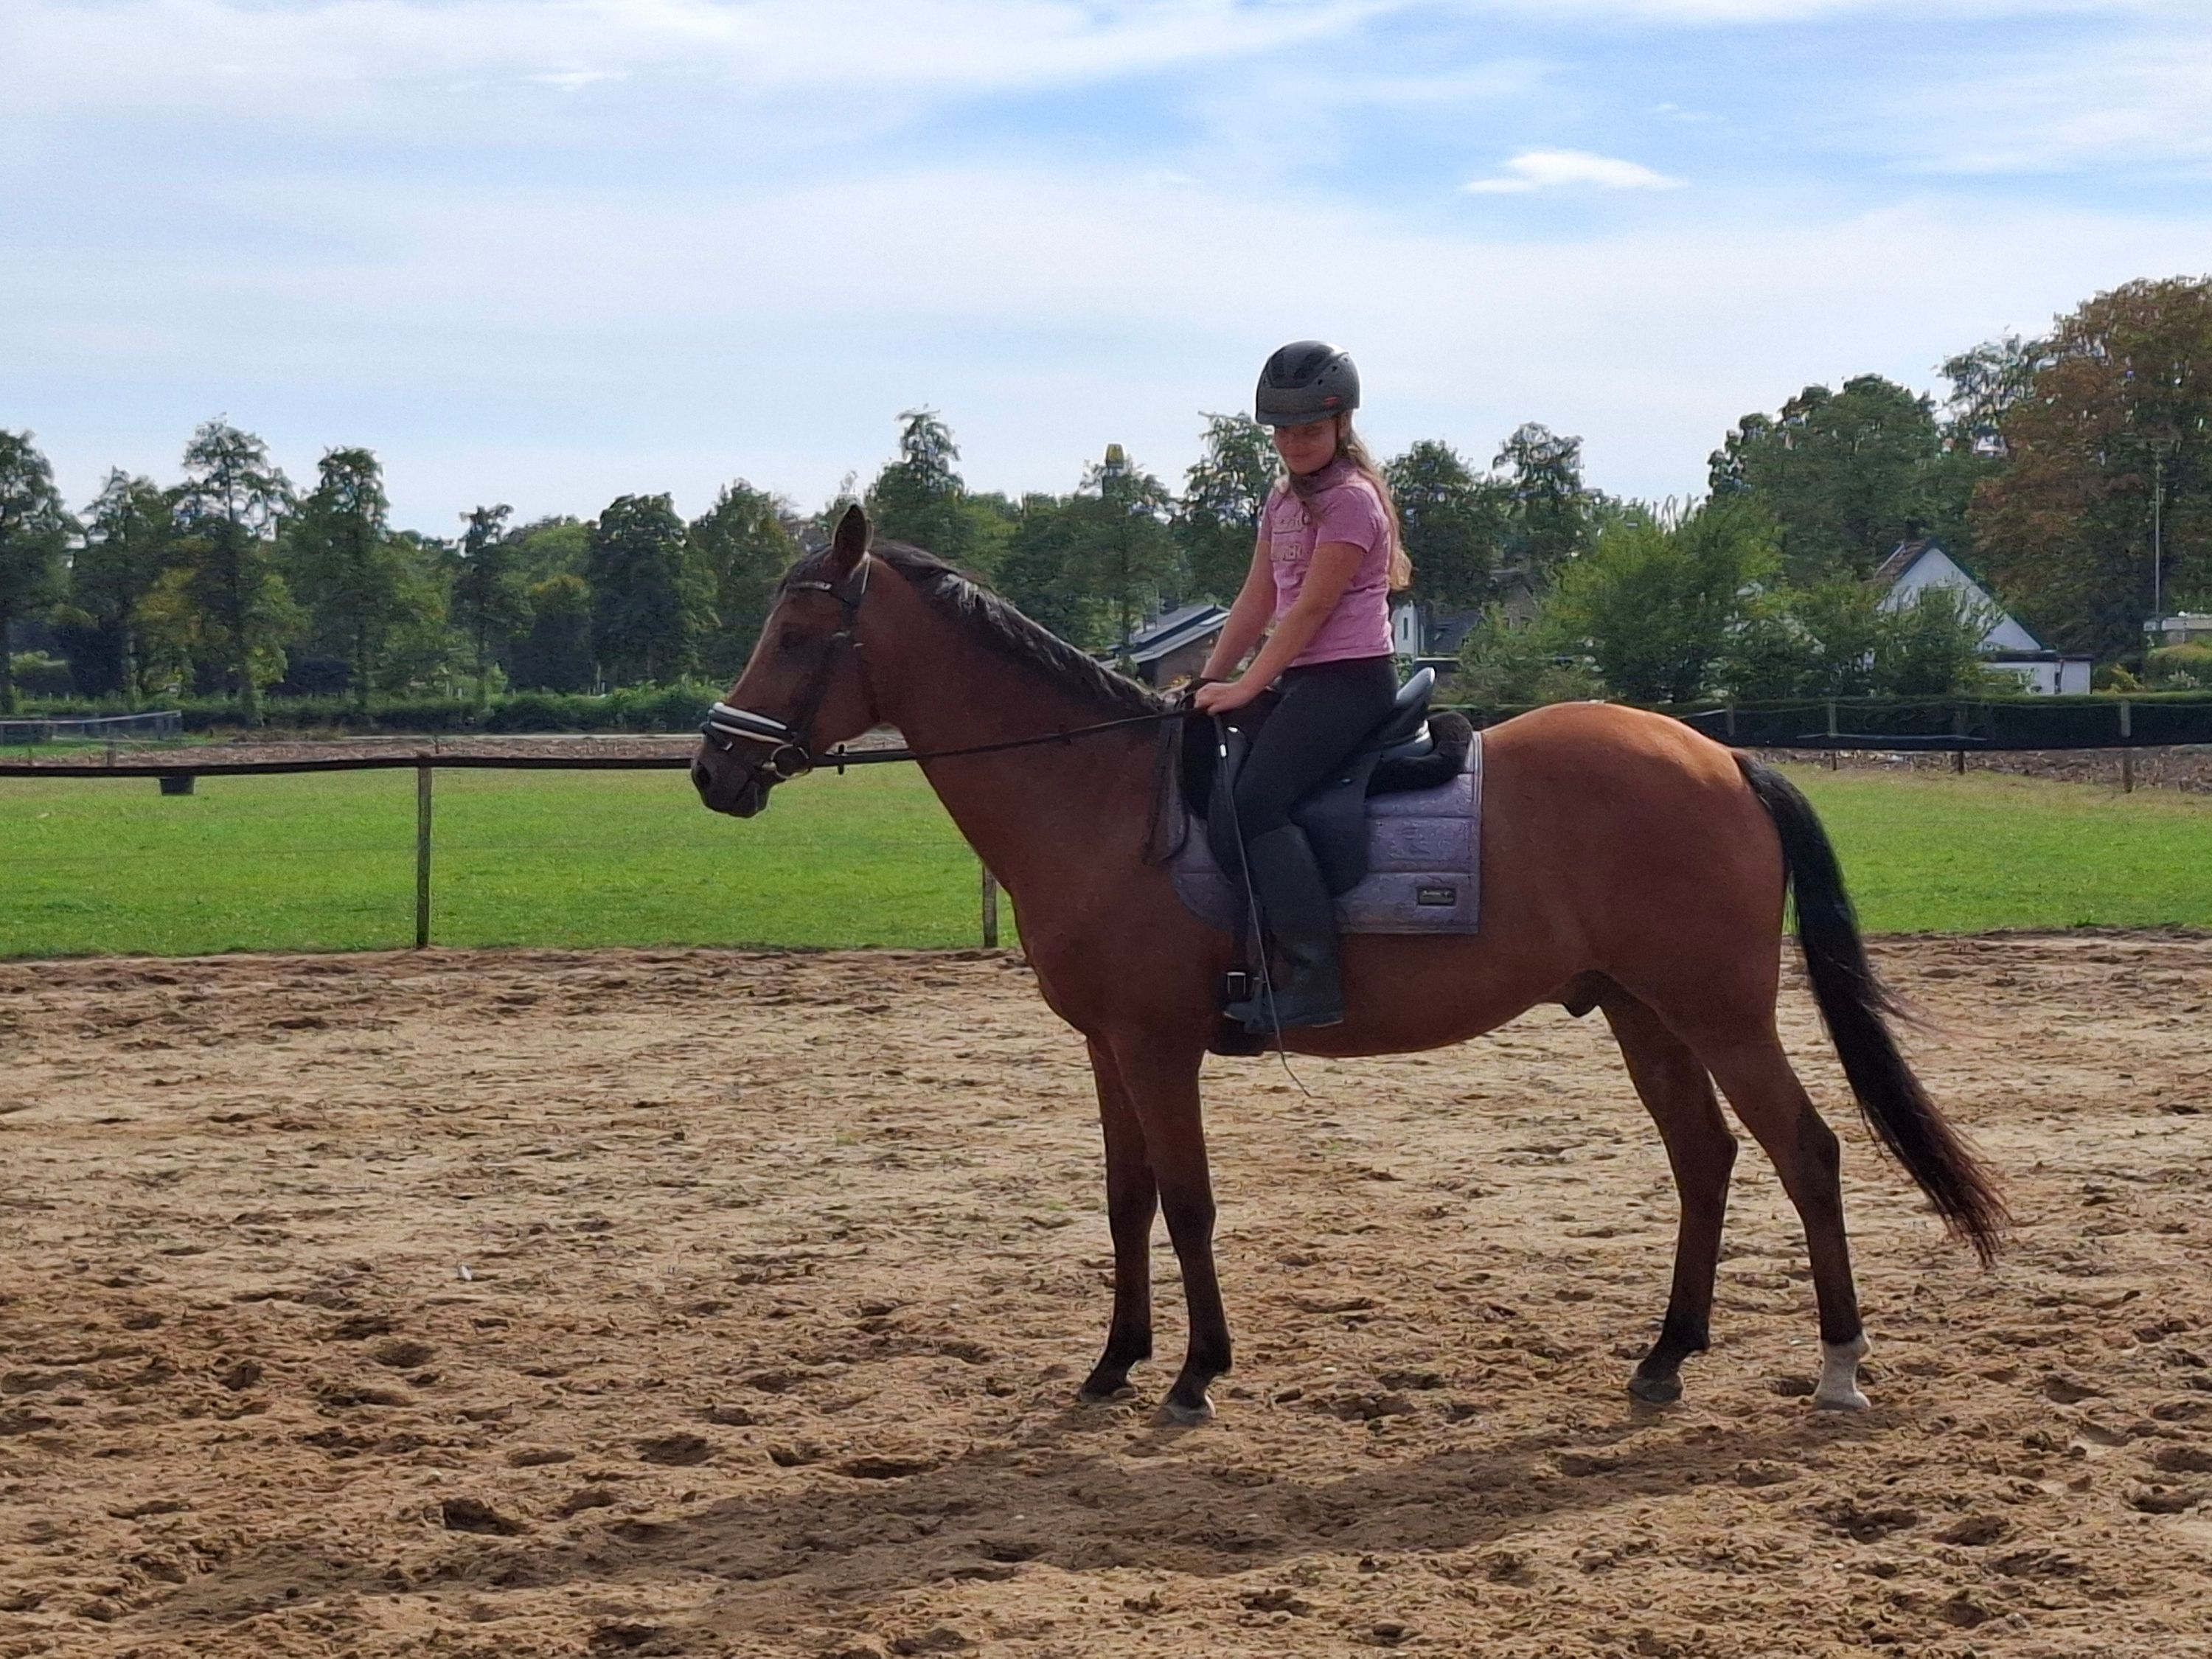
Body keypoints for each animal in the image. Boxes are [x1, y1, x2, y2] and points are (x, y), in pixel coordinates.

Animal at [691, 506, 2005, 1425]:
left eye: (799, 633)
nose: (713, 770)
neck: (1102, 796)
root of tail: (1724, 759)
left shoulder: (1160, 1050)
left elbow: (1189, 1201)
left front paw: (1196, 1374)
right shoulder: (1109, 1049)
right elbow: (1125, 1202)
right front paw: (1115, 1361)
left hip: (1720, 1011)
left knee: (1808, 1152)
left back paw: (1838, 1363)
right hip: (1645, 1013)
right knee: (1707, 1160)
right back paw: (1666, 1354)